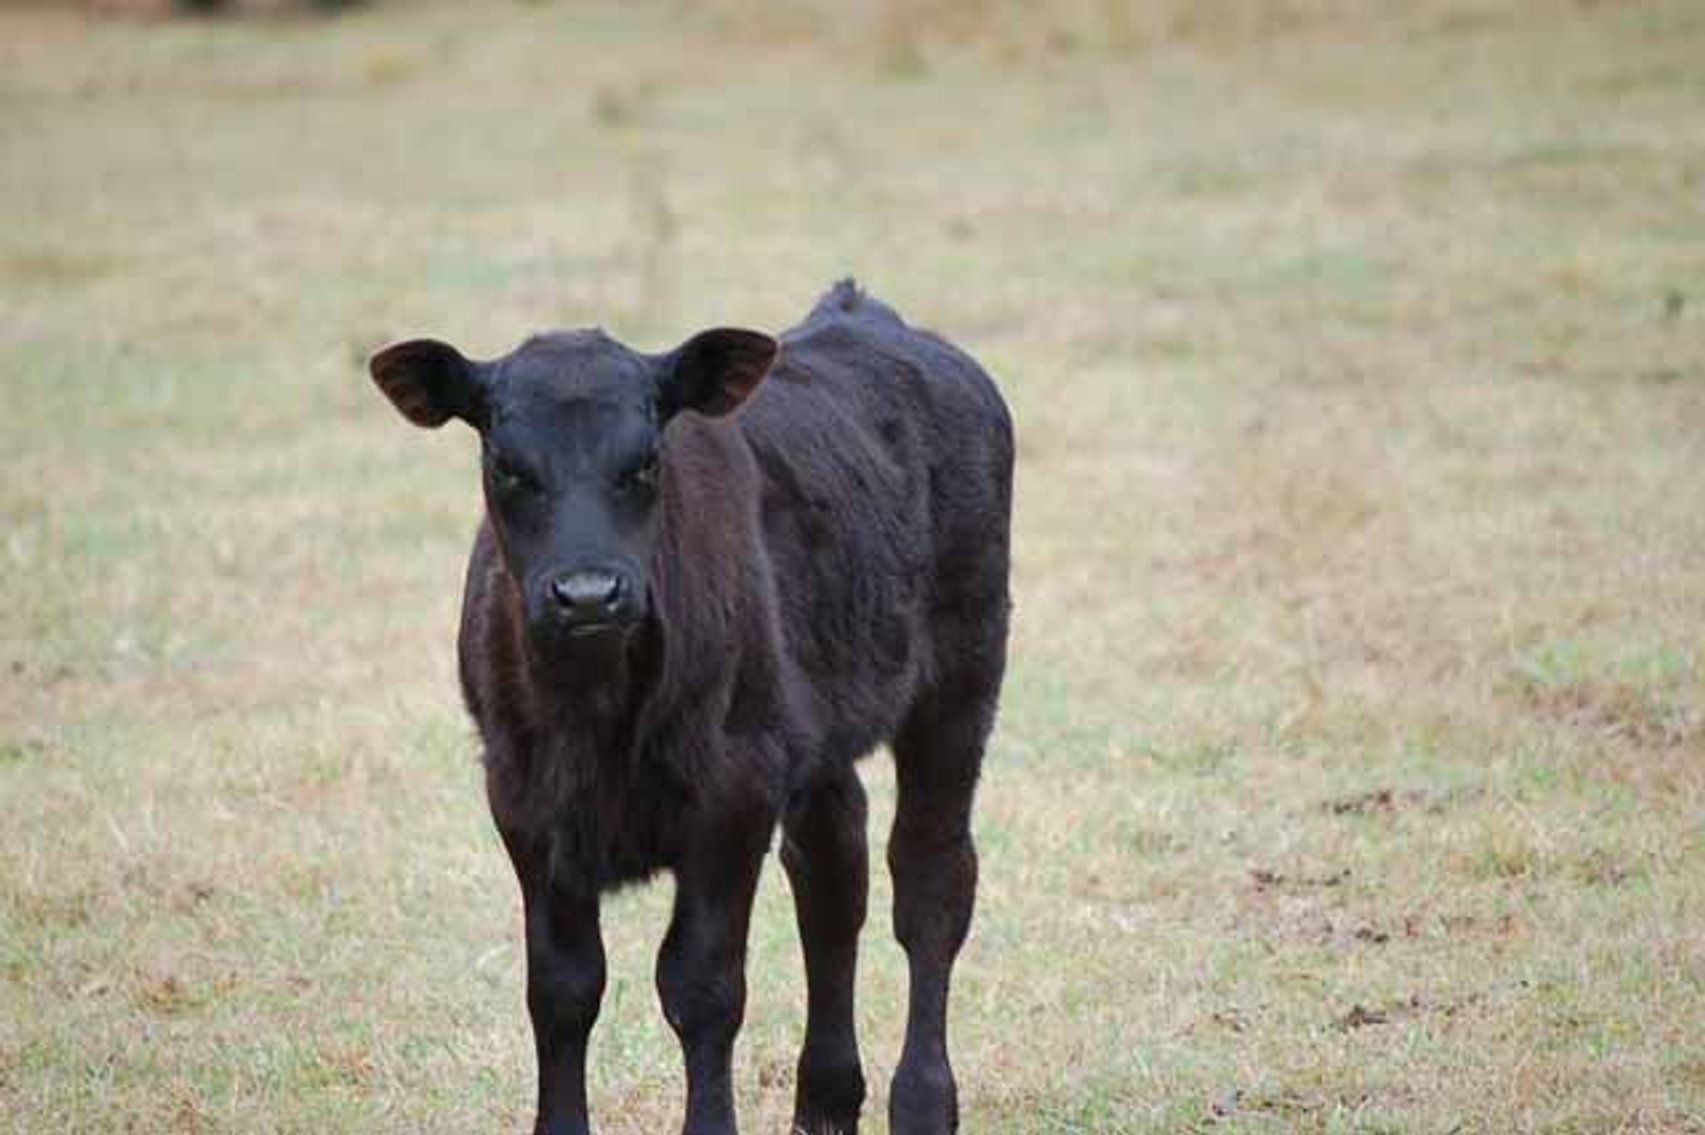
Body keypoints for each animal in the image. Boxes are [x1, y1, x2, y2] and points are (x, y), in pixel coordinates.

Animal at [368, 280, 1012, 1135]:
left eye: (645, 462)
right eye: (506, 465)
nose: (587, 593)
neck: (591, 709)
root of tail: (866, 315)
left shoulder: (732, 792)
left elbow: (701, 986)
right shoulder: (520, 798)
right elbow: (562, 987)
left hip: (961, 678)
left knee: (929, 880)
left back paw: (921, 1102)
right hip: (815, 724)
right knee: (831, 877)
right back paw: (825, 1099)